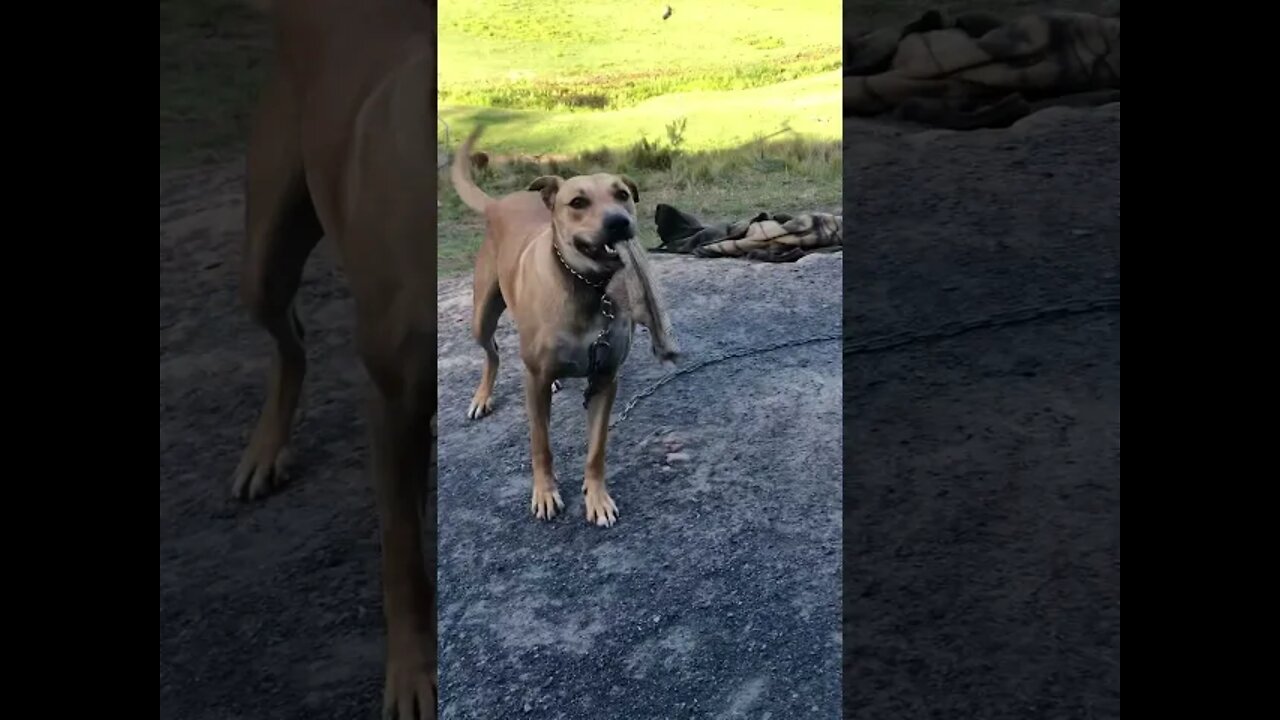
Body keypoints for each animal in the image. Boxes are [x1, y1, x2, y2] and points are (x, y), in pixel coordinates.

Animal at [225, 1, 435, 717]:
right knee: (289, 333)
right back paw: (264, 450)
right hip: (264, 259)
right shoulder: (394, 395)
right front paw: (411, 675)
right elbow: (401, 551)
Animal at [455, 126, 686, 525]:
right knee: (493, 352)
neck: (586, 287)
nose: (618, 222)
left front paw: (597, 498)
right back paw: (482, 397)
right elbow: (541, 445)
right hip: (481, 317)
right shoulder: (534, 381)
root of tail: (499, 204)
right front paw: (545, 493)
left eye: (622, 195)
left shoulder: (605, 378)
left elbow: (596, 449)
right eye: (578, 202)